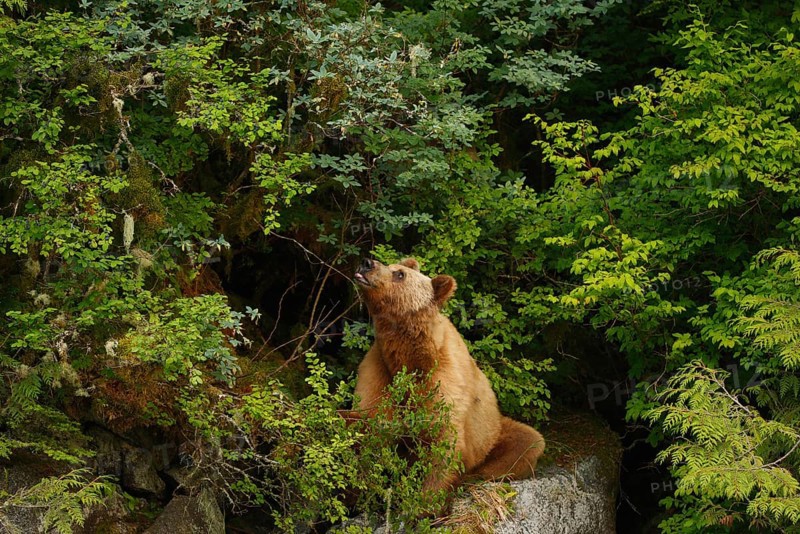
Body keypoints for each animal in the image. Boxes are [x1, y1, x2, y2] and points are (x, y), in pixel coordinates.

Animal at [352, 256, 545, 496]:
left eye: (399, 274)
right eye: (393, 266)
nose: (367, 263)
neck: (410, 358)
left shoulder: (444, 381)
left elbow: (444, 442)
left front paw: (428, 499)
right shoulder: (379, 371)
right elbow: (370, 424)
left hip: (494, 434)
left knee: (528, 442)